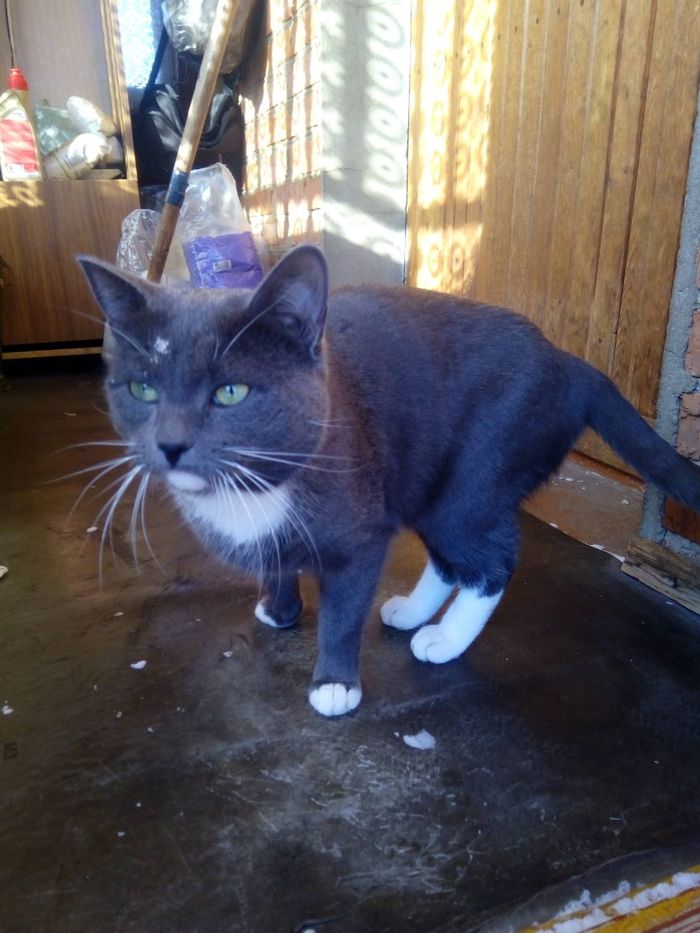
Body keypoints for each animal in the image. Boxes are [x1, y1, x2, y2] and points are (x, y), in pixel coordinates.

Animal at [79, 245, 700, 717]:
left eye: (230, 392)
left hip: (475, 477)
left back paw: (444, 639)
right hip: (427, 480)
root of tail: (570, 363)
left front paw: (333, 683)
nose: (170, 443)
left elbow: (343, 610)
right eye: (142, 389)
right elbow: (277, 562)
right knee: (452, 560)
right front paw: (279, 610)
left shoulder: (359, 535)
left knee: (491, 558)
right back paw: (414, 613)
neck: (253, 488)